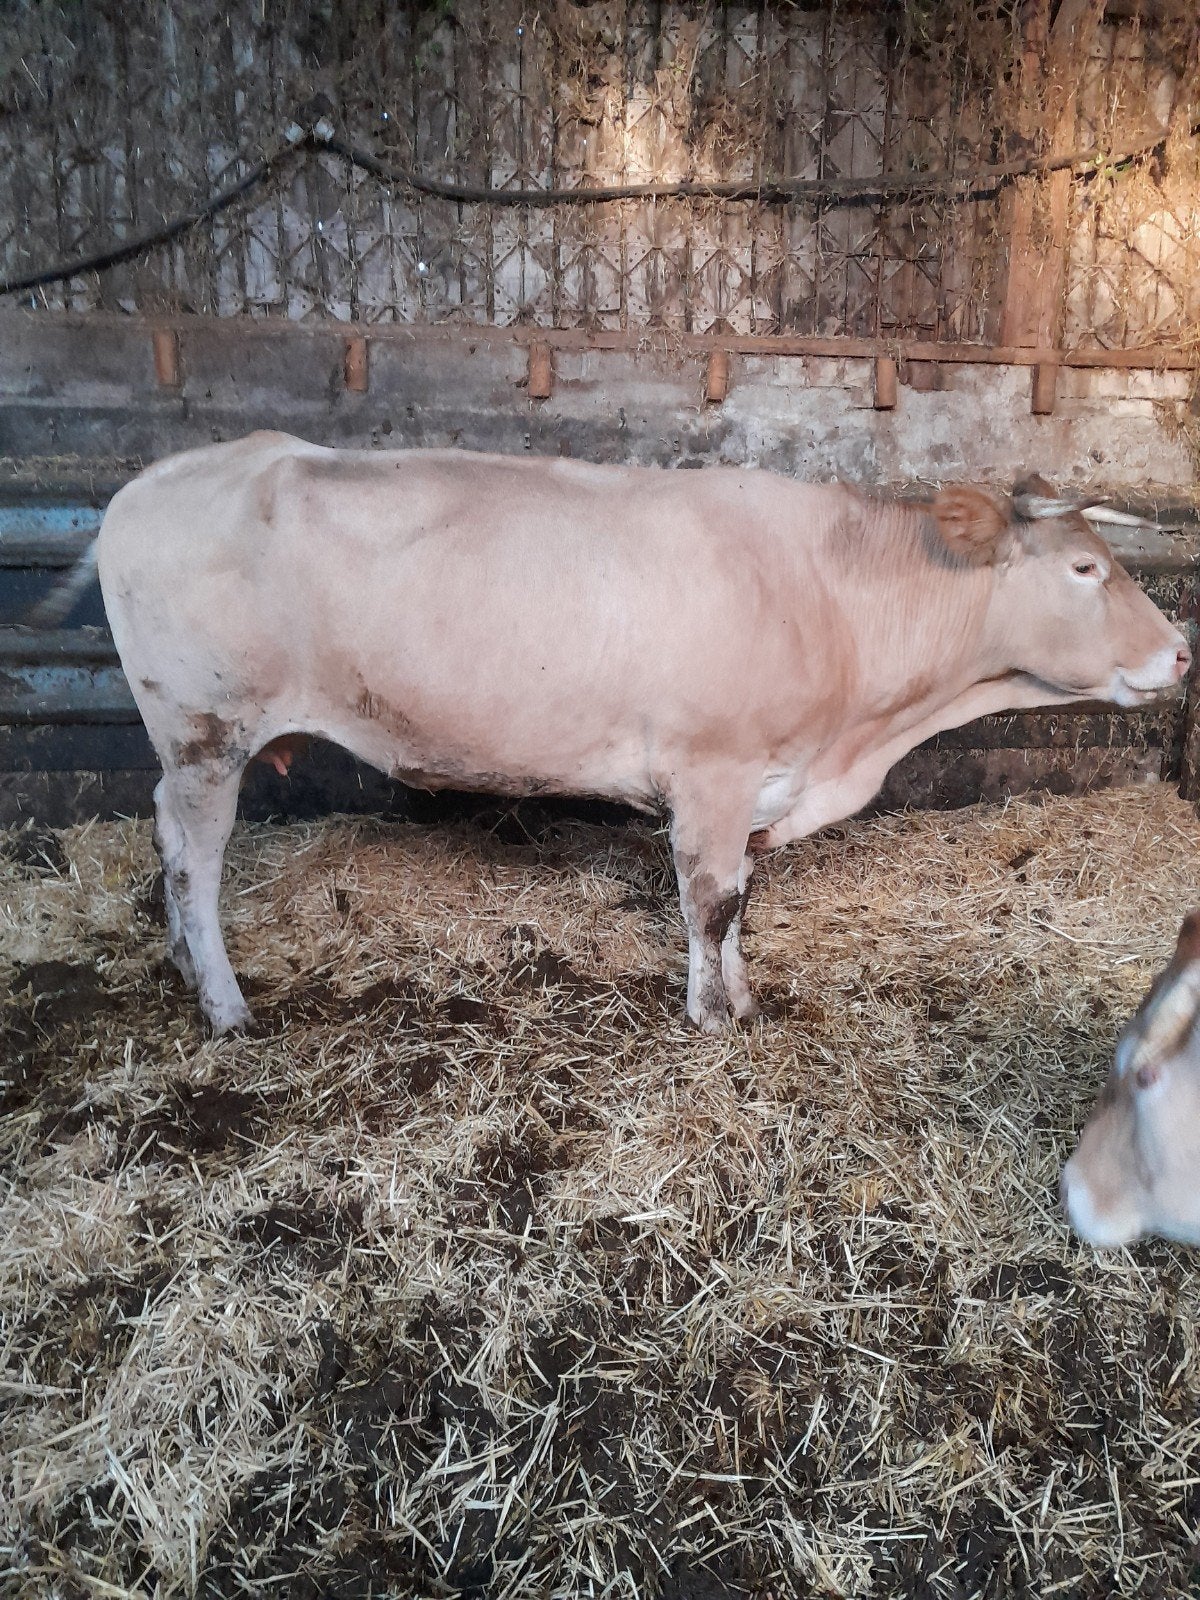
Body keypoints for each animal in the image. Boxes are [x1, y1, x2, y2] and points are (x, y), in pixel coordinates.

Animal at [91, 432, 1189, 1035]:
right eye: (1086, 569)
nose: (1182, 653)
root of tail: (150, 482)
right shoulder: (712, 769)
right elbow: (710, 902)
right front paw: (711, 1017)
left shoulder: (760, 784)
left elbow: (741, 903)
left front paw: (743, 998)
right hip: (204, 730)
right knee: (194, 860)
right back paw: (224, 1003)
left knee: (163, 834)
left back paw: (185, 972)